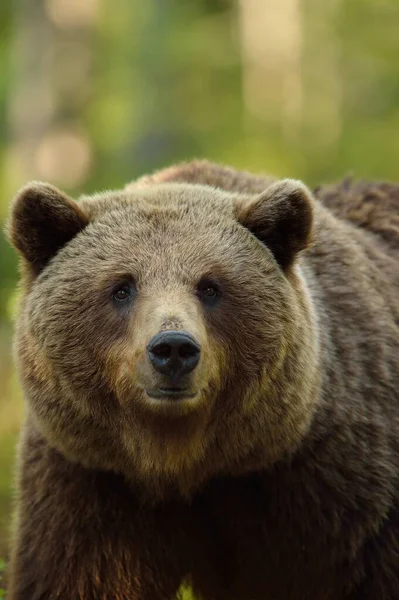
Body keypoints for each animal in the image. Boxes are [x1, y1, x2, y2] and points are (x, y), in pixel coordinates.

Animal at [5, 161, 399, 600]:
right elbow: (78, 577)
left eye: (210, 286)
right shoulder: (89, 482)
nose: (173, 348)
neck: (186, 462)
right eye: (122, 287)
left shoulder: (336, 488)